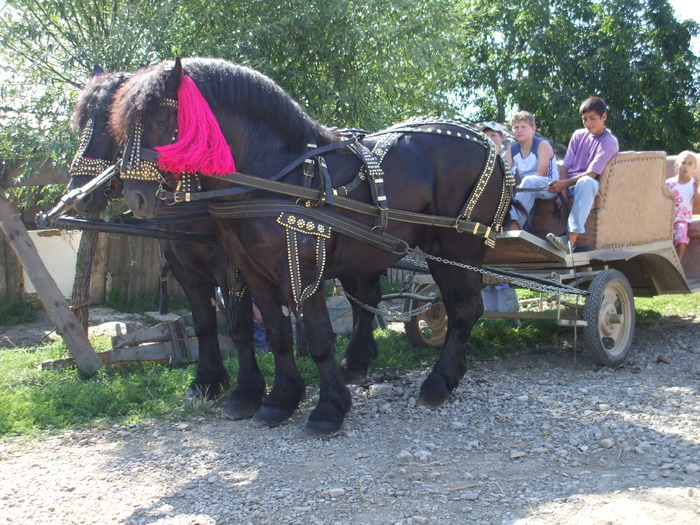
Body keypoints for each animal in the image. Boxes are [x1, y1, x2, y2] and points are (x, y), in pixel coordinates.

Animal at [112, 56, 512, 434]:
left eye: (161, 120)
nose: (135, 197)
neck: (277, 176)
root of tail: (489, 145)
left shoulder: (300, 270)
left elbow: (318, 337)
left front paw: (328, 409)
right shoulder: (252, 270)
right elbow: (277, 332)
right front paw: (279, 400)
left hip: (457, 247)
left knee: (464, 310)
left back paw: (438, 382)